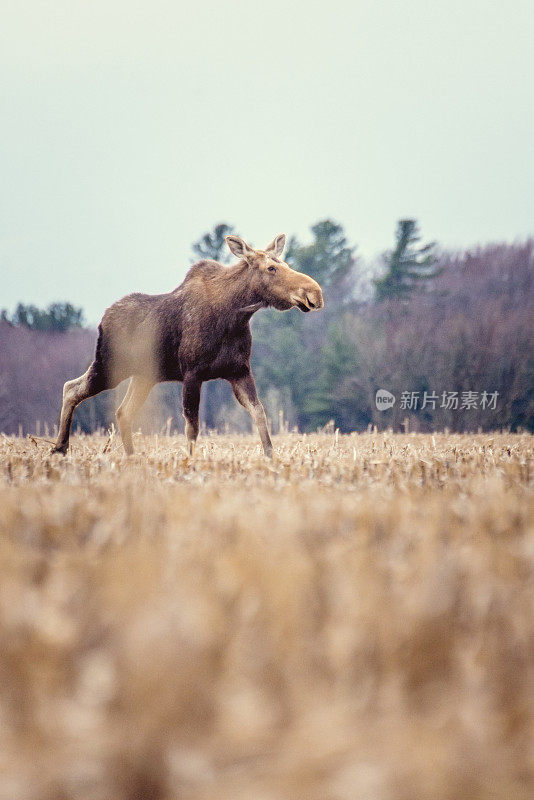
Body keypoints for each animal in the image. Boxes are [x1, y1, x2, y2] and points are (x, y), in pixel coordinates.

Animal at [52, 233, 324, 456]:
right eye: (271, 268)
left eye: (285, 264)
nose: (315, 293)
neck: (236, 315)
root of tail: (103, 318)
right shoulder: (192, 373)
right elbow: (192, 427)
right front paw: (190, 462)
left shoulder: (239, 371)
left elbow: (260, 413)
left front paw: (270, 457)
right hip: (109, 366)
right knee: (71, 388)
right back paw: (60, 448)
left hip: (143, 377)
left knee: (122, 411)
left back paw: (130, 457)